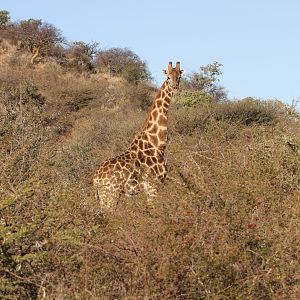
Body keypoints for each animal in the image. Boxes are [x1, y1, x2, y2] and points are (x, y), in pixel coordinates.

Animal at [93, 61, 183, 210]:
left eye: (180, 77)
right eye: (168, 77)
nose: (175, 89)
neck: (157, 144)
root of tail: (95, 179)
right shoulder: (153, 186)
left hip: (104, 197)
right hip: (110, 195)